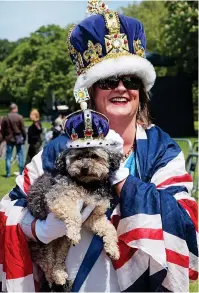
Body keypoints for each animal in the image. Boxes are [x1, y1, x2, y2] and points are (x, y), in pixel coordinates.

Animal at [27, 147, 122, 288]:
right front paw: (74, 234)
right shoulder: (60, 199)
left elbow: (109, 228)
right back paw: (58, 278)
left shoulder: (93, 215)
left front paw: (113, 249)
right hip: (44, 246)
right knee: (48, 268)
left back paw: (60, 274)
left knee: (57, 260)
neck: (87, 185)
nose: (84, 168)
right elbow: (75, 215)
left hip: (62, 244)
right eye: (77, 157)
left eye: (95, 156)